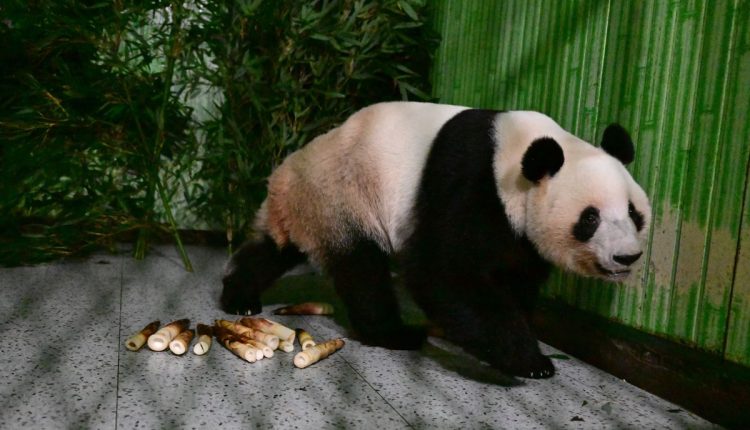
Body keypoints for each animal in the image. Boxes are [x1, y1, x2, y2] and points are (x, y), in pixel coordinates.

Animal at [221, 101, 651, 379]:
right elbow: (442, 271)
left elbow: (515, 277)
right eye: (590, 218)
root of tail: (285, 173)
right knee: (363, 270)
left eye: (634, 213)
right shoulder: (470, 180)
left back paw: (238, 296)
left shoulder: (519, 234)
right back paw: (395, 333)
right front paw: (529, 359)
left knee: (272, 250)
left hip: (310, 208)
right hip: (342, 197)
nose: (627, 257)